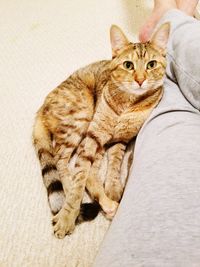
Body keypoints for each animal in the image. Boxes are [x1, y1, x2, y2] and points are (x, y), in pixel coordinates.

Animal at [32, 23, 170, 239]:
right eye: (128, 65)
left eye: (151, 64)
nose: (140, 80)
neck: (127, 105)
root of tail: (41, 107)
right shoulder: (94, 136)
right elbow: (80, 178)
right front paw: (68, 215)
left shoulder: (120, 139)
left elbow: (113, 164)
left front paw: (112, 186)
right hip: (82, 115)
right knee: (62, 160)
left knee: (86, 169)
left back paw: (107, 203)